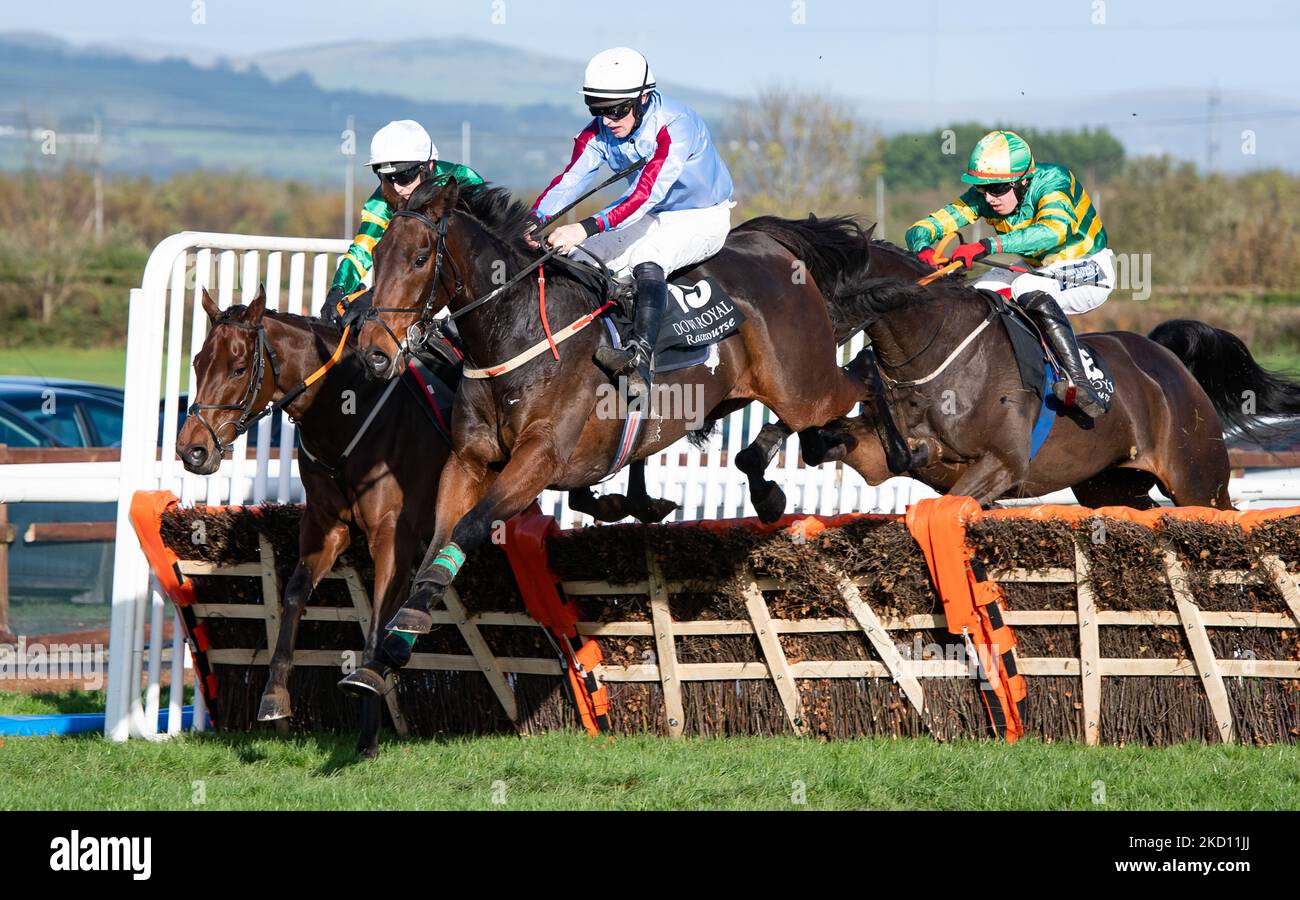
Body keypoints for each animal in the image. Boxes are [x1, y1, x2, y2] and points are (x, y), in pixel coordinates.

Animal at [176, 286, 452, 754]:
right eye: (197, 363)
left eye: (238, 368)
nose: (191, 450)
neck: (347, 418)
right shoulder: (326, 528)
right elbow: (294, 594)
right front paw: (273, 695)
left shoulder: (393, 534)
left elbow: (379, 616)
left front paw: (368, 727)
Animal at [832, 243, 1300, 509]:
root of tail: (1168, 359)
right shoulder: (882, 454)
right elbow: (873, 452)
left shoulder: (1005, 462)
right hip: (1110, 485)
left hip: (1198, 479)